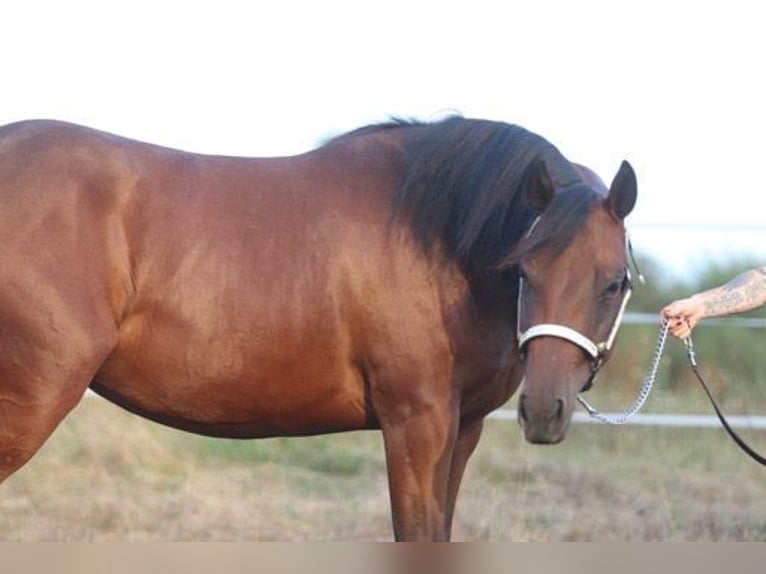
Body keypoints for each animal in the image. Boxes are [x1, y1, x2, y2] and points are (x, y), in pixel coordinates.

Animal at [0, 117, 636, 540]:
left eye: (613, 283)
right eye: (525, 269)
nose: (544, 410)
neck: (436, 238)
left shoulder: (464, 429)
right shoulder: (417, 424)